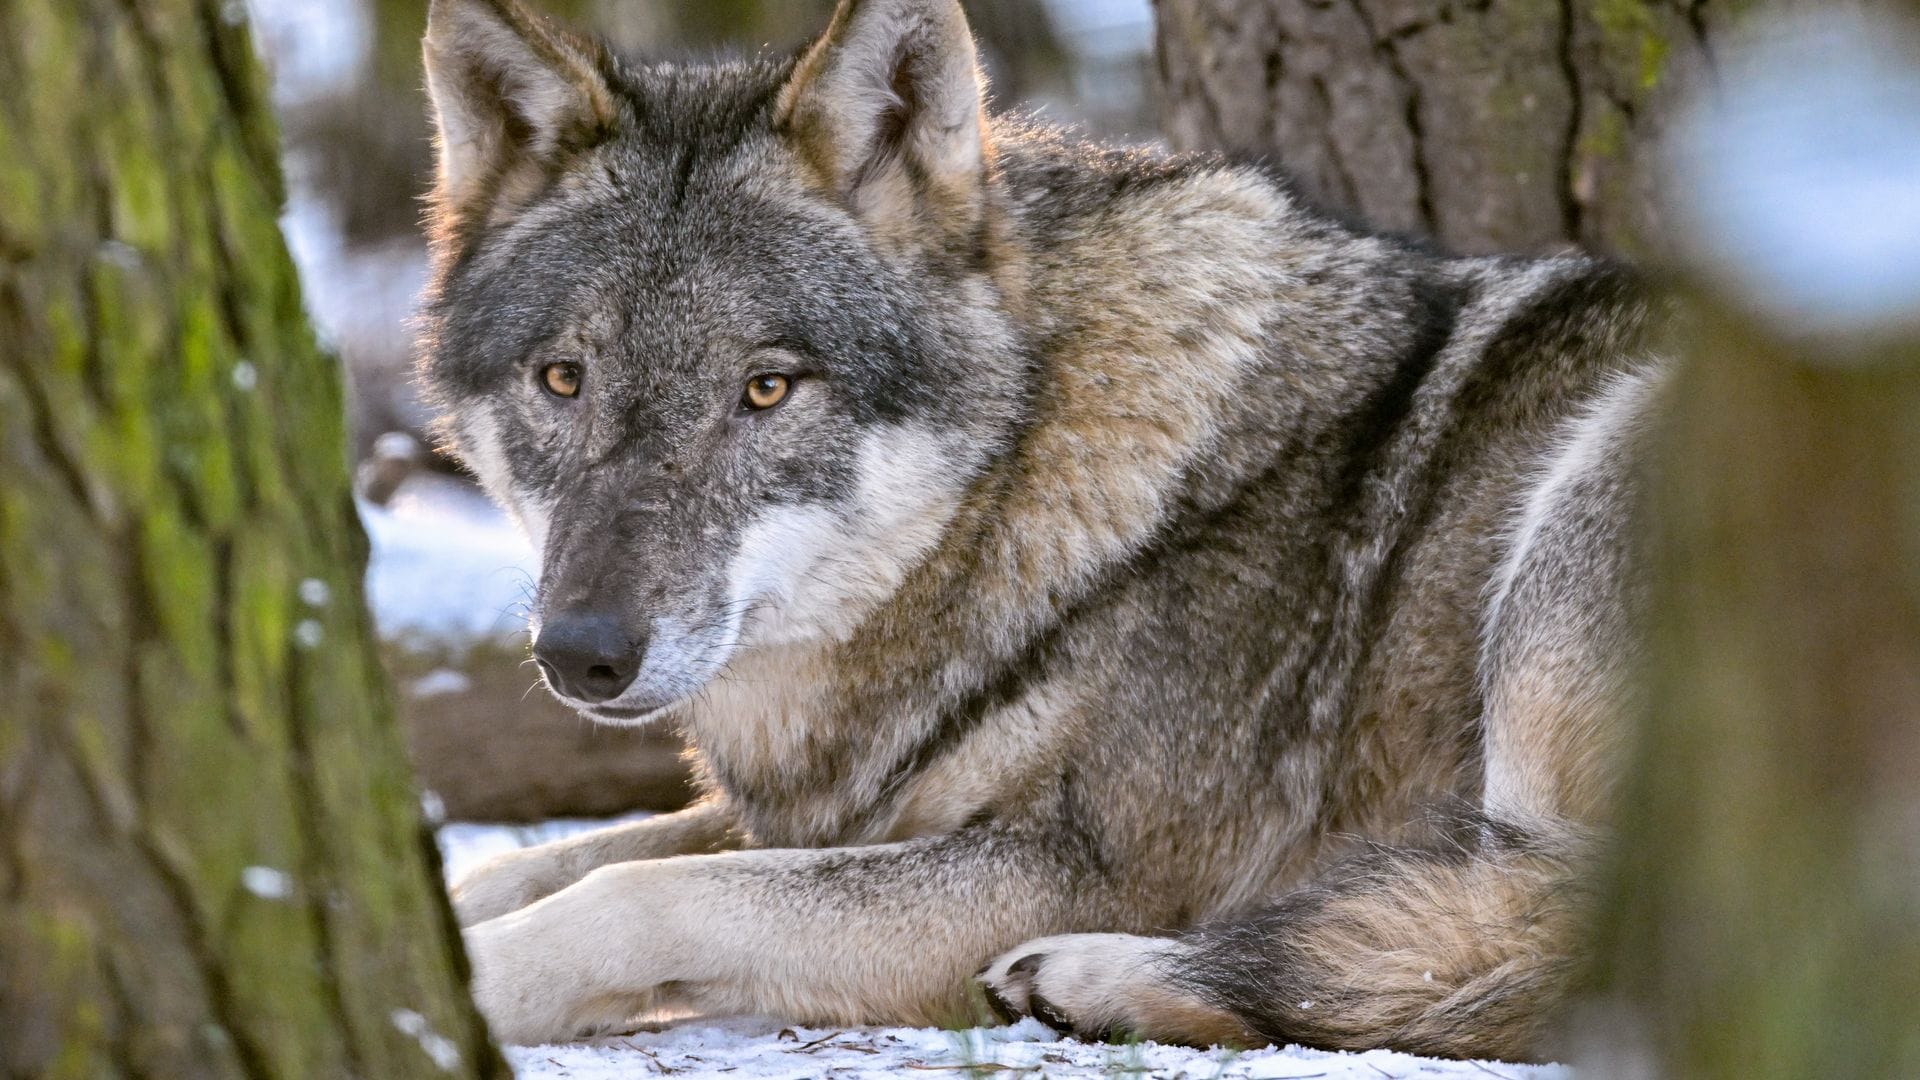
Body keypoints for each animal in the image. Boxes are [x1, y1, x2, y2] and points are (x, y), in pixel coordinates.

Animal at [417, 0, 1664, 1061]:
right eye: (564, 379)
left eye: (766, 389)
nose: (580, 653)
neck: (1021, 490)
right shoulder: (857, 810)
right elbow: (538, 864)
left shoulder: (1080, 866)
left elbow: (637, 891)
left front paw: (459, 994)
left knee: (1557, 935)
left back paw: (1104, 979)